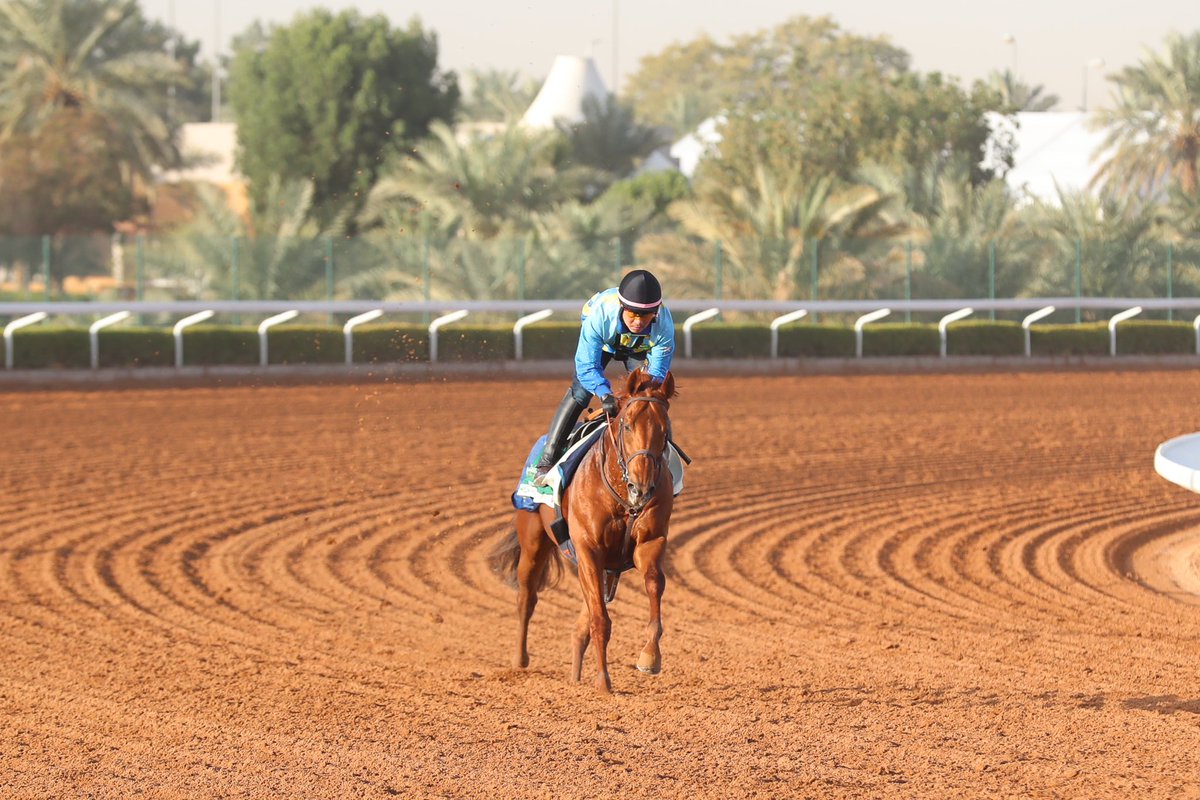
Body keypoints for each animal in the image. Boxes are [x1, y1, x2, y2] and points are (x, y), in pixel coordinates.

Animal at [490, 368, 677, 693]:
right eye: (627, 425)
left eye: (664, 431)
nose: (641, 487)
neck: (621, 497)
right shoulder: (589, 551)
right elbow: (600, 620)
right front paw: (603, 682)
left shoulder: (650, 542)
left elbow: (654, 585)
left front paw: (650, 657)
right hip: (533, 541)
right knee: (527, 597)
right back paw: (520, 659)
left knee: (580, 626)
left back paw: (575, 677)